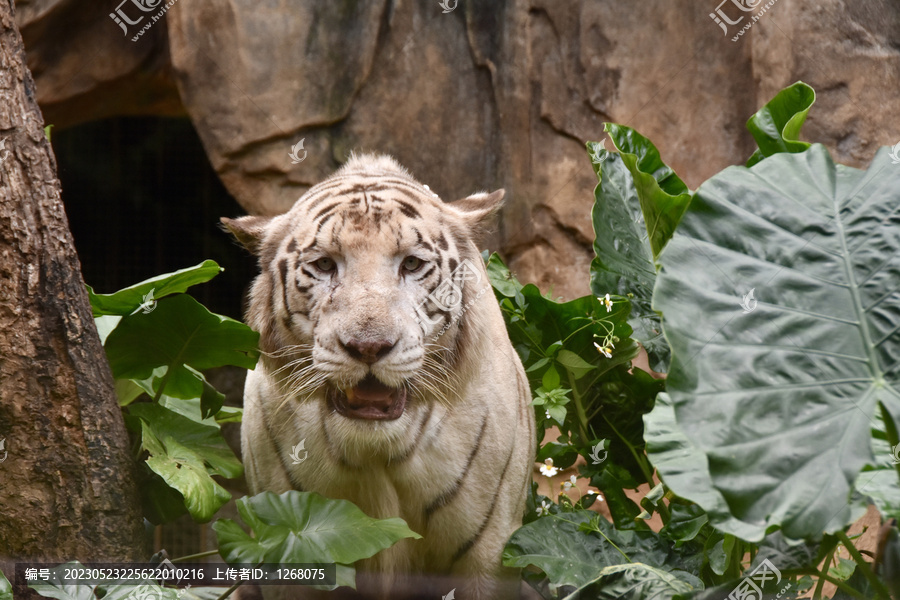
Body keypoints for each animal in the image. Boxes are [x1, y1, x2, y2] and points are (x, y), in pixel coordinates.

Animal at [223, 155, 536, 600]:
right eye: (324, 264)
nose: (369, 346)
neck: (377, 451)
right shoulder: (290, 535)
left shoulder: (490, 551)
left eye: (411, 264)